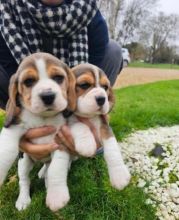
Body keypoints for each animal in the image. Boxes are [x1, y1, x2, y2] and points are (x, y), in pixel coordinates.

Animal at [0, 52, 76, 211]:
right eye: (28, 81)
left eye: (58, 78)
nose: (48, 96)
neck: (43, 118)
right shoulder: (15, 127)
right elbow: (5, 150)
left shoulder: (60, 142)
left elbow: (56, 169)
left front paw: (57, 195)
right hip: (24, 161)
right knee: (24, 179)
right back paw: (23, 199)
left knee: (50, 167)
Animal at [68, 62, 131, 190]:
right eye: (84, 85)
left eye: (105, 87)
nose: (102, 99)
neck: (88, 116)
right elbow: (79, 125)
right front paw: (86, 144)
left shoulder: (105, 127)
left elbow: (112, 149)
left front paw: (119, 175)